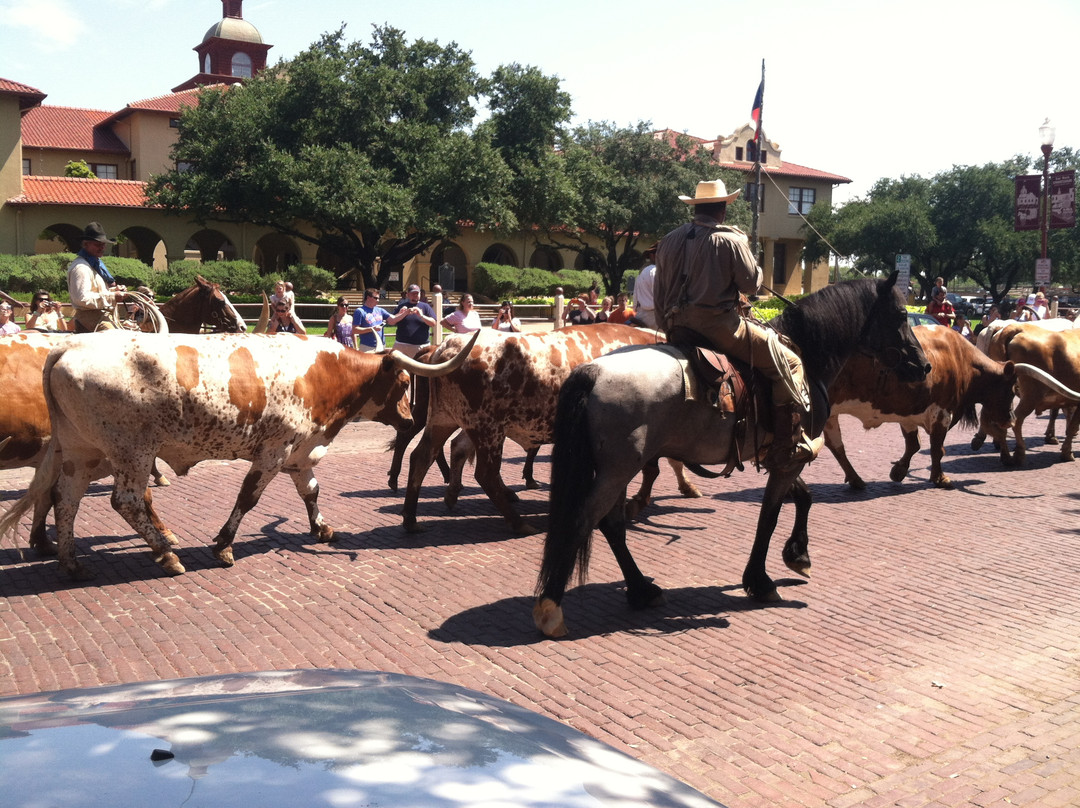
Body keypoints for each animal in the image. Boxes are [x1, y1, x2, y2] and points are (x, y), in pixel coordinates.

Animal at [531, 271, 928, 639]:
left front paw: (798, 554)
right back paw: (551, 609)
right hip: (616, 472)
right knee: (583, 521)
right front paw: (761, 580)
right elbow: (769, 516)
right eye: (900, 314)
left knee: (611, 525)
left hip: (618, 471)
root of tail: (592, 371)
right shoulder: (790, 459)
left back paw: (642, 589)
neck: (807, 355)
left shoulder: (783, 454)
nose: (924, 365)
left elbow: (804, 497)